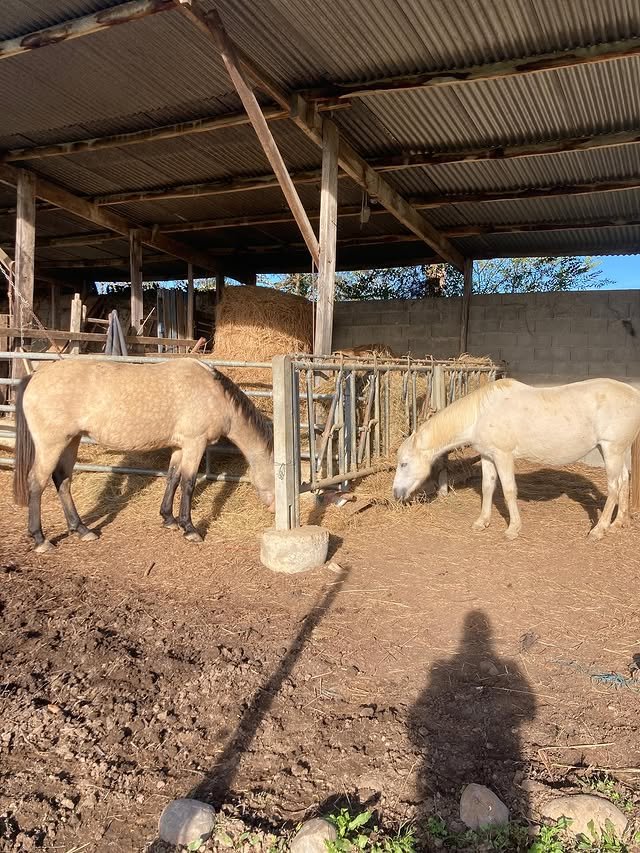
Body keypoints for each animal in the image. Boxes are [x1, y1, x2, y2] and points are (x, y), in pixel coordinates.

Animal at [13, 359, 275, 553]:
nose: (275, 511)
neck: (215, 394)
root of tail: (34, 376)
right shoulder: (195, 443)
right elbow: (188, 484)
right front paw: (189, 529)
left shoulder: (180, 446)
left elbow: (173, 479)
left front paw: (168, 519)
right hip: (52, 444)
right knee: (37, 482)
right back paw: (41, 539)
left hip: (72, 440)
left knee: (63, 480)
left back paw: (82, 530)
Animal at [392, 377, 640, 540]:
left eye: (404, 463)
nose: (396, 494)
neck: (481, 413)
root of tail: (634, 394)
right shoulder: (488, 456)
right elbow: (488, 487)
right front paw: (482, 522)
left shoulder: (503, 456)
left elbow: (509, 490)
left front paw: (513, 529)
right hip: (613, 451)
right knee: (624, 481)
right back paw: (618, 523)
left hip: (612, 449)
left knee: (614, 486)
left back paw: (599, 530)